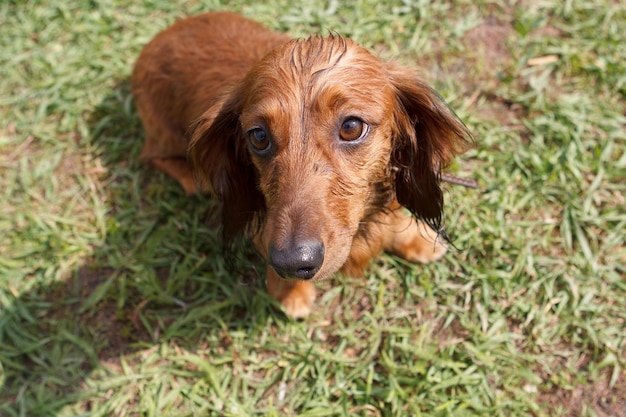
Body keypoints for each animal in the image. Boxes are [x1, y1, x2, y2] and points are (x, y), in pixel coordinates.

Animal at [133, 11, 472, 316]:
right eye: (258, 137)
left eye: (352, 127)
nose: (291, 264)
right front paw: (291, 293)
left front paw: (414, 237)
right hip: (164, 136)